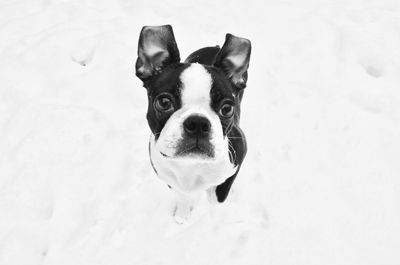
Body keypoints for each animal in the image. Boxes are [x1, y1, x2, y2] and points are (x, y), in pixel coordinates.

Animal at [136, 25, 252, 222]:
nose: (198, 123)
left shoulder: (238, 154)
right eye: (164, 102)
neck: (191, 164)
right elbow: (183, 195)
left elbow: (216, 195)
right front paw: (183, 214)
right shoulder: (169, 179)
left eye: (227, 108)